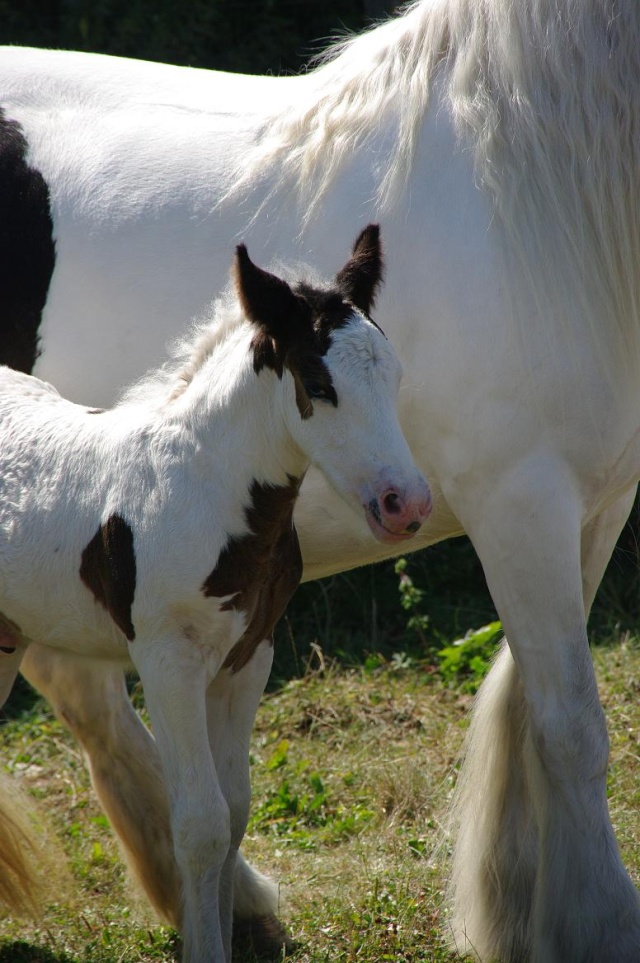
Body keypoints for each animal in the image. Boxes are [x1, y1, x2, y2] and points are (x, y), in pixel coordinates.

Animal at [1, 1, 640, 963]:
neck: (535, 194)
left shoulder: (594, 504)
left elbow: (529, 708)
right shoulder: (520, 499)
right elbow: (570, 727)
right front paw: (602, 923)